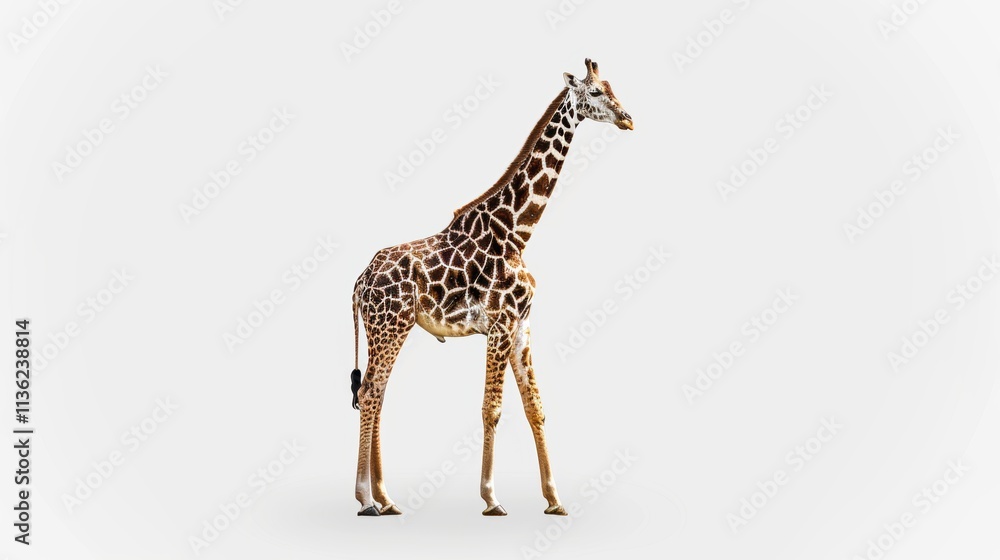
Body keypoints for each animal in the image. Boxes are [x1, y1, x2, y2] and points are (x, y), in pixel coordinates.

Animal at [350, 58, 633, 517]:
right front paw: (491, 498)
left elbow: (536, 408)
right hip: (389, 326)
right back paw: (367, 498)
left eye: (612, 87)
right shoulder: (499, 324)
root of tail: (360, 280)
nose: (628, 118)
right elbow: (493, 408)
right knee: (372, 391)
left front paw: (555, 499)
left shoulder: (521, 326)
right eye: (593, 93)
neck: (517, 232)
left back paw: (386, 499)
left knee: (377, 392)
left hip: (390, 328)